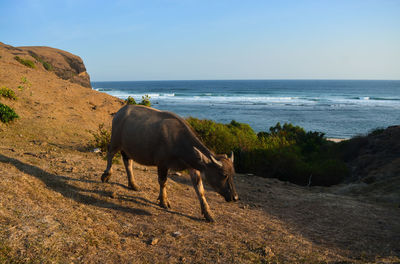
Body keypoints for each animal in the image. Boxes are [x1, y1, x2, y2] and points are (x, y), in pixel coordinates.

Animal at [101, 104, 238, 222]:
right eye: (223, 175)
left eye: (232, 175)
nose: (235, 197)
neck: (178, 141)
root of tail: (121, 111)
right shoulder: (162, 164)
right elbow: (163, 182)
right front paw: (163, 201)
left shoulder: (193, 167)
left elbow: (200, 189)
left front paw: (208, 213)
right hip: (115, 140)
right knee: (110, 153)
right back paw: (106, 175)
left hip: (128, 148)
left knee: (127, 162)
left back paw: (133, 184)